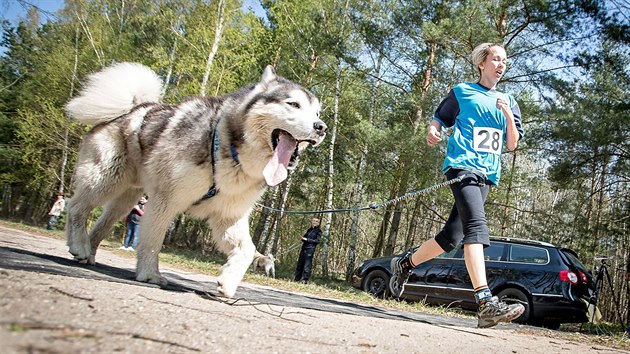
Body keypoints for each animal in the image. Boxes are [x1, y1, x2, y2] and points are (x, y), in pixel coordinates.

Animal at [66, 62, 328, 298]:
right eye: (293, 104)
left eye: (316, 113)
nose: (322, 127)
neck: (231, 151)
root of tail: (133, 107)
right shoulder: (165, 200)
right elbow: (153, 240)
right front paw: (150, 274)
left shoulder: (229, 214)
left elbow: (247, 249)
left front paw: (228, 281)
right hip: (105, 178)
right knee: (77, 207)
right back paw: (79, 244)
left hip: (126, 199)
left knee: (102, 223)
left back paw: (88, 252)